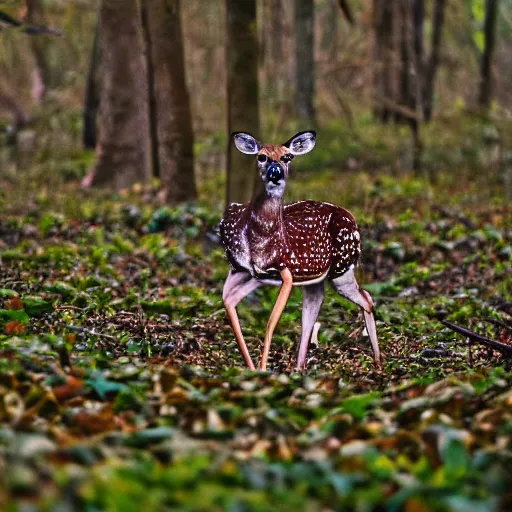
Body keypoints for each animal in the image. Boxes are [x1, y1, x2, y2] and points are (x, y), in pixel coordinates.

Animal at [220, 131, 380, 372]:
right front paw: (251, 368)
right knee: (314, 306)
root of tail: (352, 218)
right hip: (312, 278)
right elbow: (228, 301)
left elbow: (270, 321)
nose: (275, 172)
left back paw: (379, 363)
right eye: (261, 157)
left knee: (367, 298)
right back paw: (299, 367)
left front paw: (262, 369)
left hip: (343, 268)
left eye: (288, 157)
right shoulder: (242, 270)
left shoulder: (284, 271)